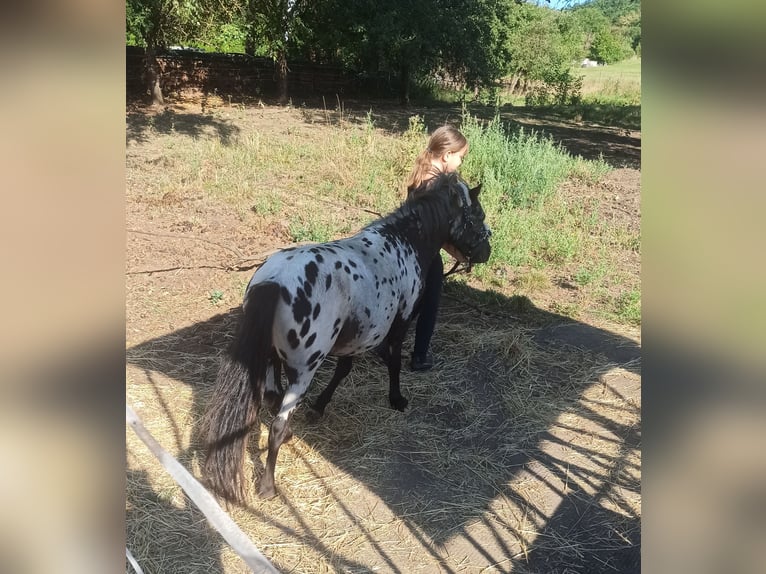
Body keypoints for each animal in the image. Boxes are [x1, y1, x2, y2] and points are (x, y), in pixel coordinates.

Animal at [202, 172, 492, 501]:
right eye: (478, 216)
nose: (486, 252)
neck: (402, 243)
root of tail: (275, 282)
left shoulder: (357, 338)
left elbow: (344, 370)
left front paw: (319, 407)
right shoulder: (400, 323)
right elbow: (393, 362)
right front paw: (397, 399)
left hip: (272, 359)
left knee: (273, 400)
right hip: (303, 372)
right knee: (276, 424)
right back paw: (268, 486)